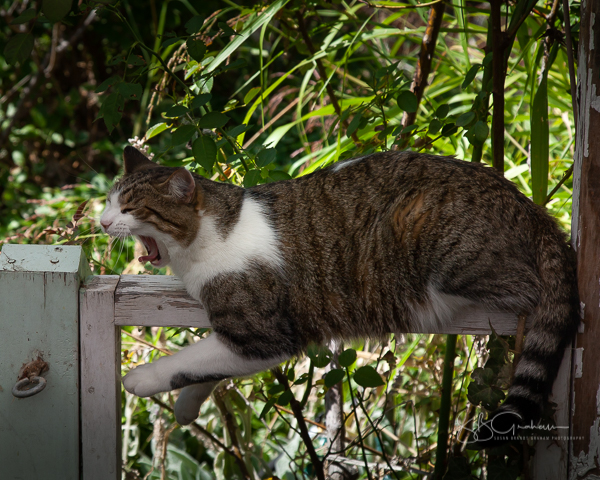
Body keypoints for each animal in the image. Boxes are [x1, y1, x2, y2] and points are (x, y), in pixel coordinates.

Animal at [101, 146, 580, 442]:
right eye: (109, 201)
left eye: (130, 208)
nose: (101, 221)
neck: (204, 240)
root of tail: (528, 205)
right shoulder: (241, 335)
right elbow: (208, 367)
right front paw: (187, 406)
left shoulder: (264, 332)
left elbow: (189, 360)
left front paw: (142, 380)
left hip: (434, 236)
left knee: (530, 288)